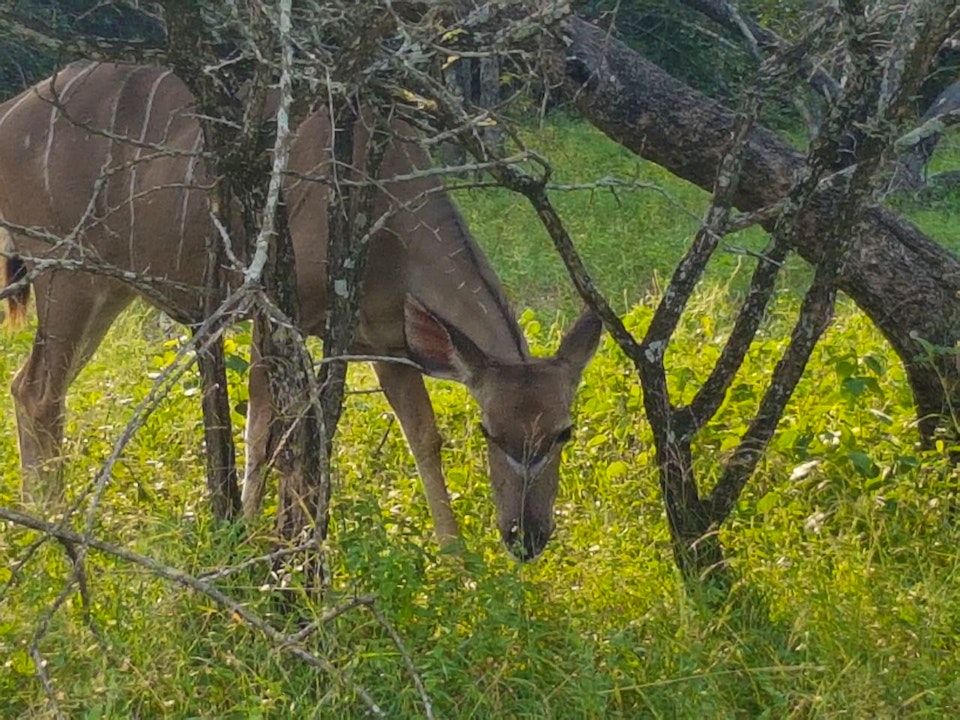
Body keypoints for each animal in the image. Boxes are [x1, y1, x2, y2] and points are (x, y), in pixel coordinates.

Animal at [0, 62, 600, 564]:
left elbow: (423, 437)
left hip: (107, 286)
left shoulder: (385, 340)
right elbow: (266, 433)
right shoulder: (274, 307)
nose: (526, 537)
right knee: (38, 389)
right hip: (64, 269)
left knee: (28, 384)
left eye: (564, 432)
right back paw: (50, 530)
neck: (390, 219)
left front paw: (457, 563)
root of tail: (12, 111)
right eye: (490, 432)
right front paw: (249, 541)